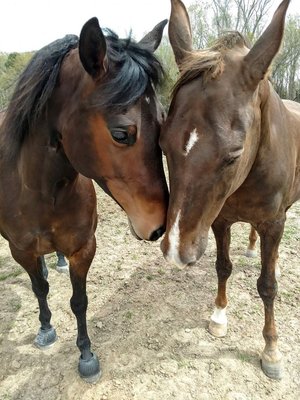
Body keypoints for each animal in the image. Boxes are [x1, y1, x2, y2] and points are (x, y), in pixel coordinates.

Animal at [0, 18, 169, 382]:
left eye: (163, 123)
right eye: (120, 134)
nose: (159, 226)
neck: (40, 190)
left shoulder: (84, 248)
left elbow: (80, 302)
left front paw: (86, 355)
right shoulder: (20, 250)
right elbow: (39, 289)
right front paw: (46, 328)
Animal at [162, 0, 300, 382]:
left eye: (233, 154)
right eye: (162, 144)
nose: (176, 251)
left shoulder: (275, 223)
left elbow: (267, 286)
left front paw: (271, 350)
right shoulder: (219, 220)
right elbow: (223, 267)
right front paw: (219, 316)